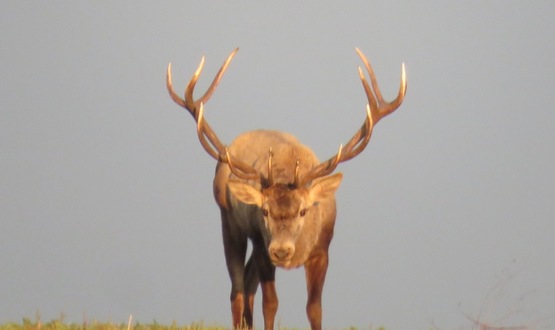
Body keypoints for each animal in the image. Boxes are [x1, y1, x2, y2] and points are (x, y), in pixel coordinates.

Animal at [167, 48, 406, 330]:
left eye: (303, 211)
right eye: (264, 211)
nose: (281, 251)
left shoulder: (322, 249)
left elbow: (314, 308)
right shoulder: (262, 244)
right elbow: (270, 305)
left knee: (247, 282)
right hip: (230, 221)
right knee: (237, 290)